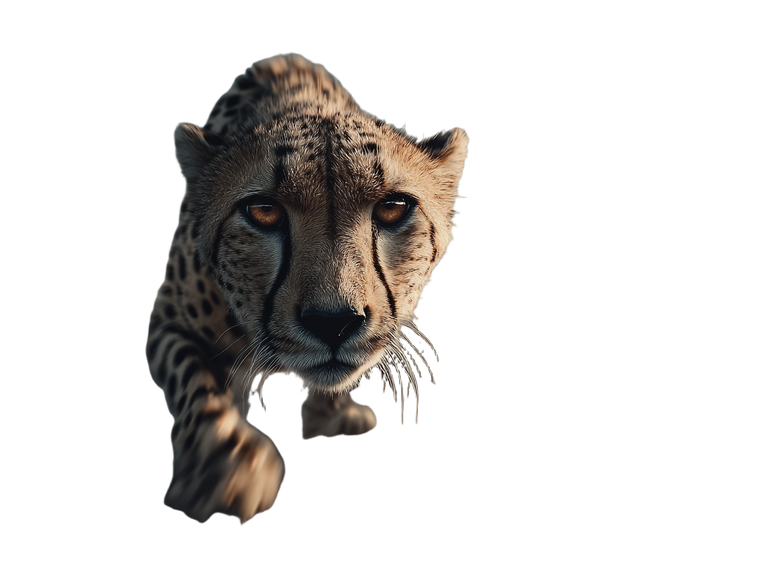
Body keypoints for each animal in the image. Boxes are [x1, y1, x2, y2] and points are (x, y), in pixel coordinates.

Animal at [143, 49, 472, 527]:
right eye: (262, 211)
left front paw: (330, 416)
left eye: (393, 208)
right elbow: (194, 382)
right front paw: (230, 472)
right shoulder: (167, 322)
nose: (333, 323)